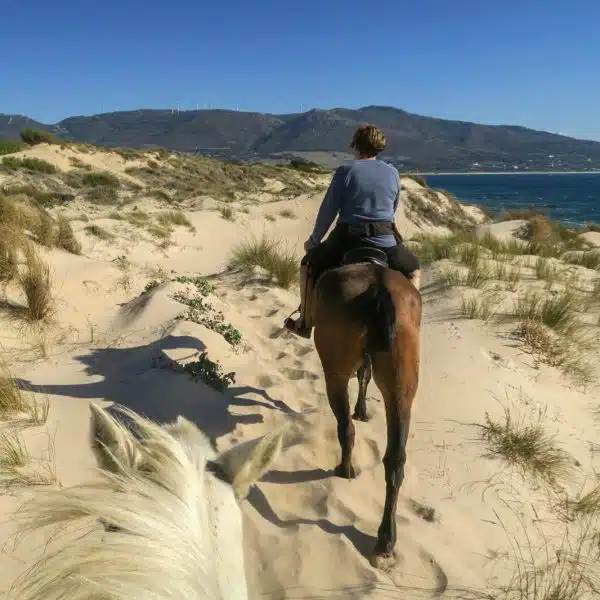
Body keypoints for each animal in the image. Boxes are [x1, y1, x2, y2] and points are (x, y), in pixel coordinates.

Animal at [312, 246, 420, 568]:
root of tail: (379, 286)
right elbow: (365, 375)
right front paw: (363, 410)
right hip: (403, 378)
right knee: (395, 458)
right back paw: (386, 540)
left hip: (334, 368)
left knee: (344, 426)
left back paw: (345, 469)